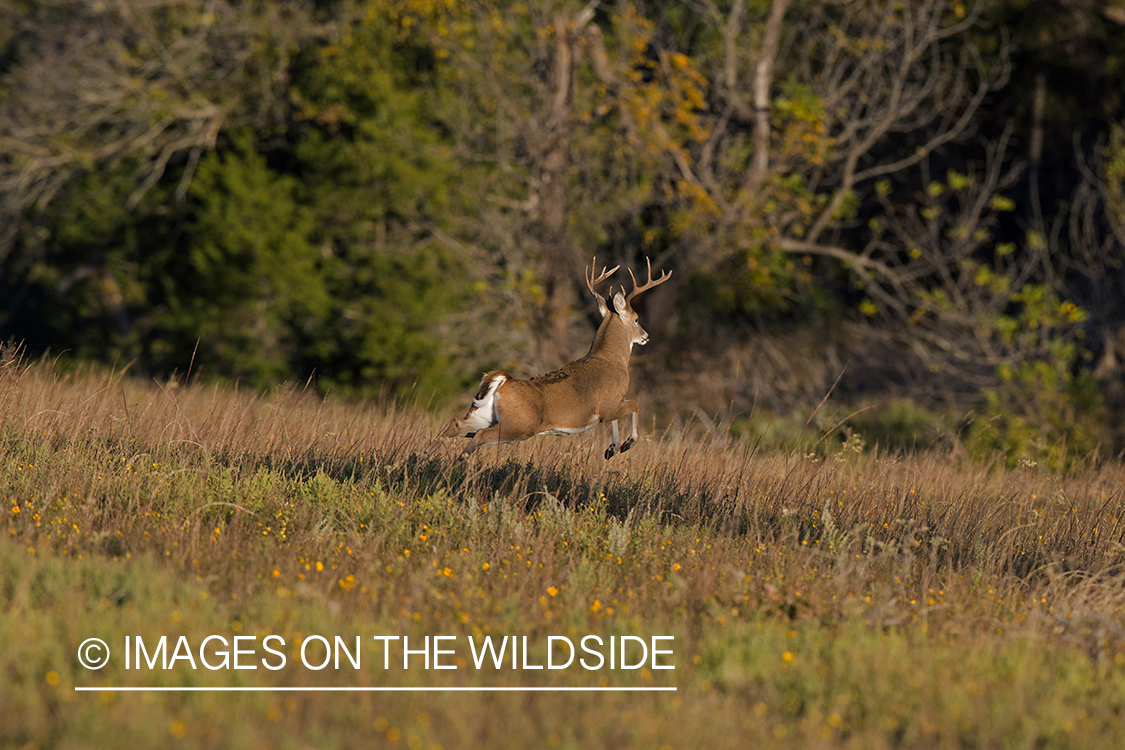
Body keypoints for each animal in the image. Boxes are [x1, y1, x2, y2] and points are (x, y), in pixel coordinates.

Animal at [436, 256, 666, 458]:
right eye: (636, 319)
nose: (646, 336)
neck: (612, 359)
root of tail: (503, 381)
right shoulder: (610, 404)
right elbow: (635, 404)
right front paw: (627, 444)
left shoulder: (610, 406)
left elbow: (617, 418)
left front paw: (612, 449)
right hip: (519, 426)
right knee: (479, 436)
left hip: (484, 415)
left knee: (456, 424)